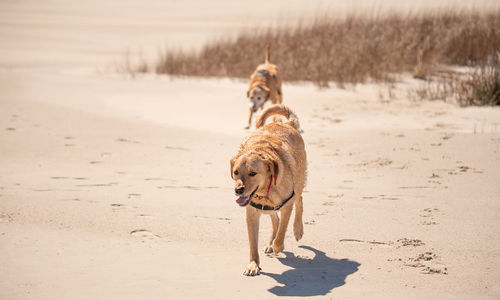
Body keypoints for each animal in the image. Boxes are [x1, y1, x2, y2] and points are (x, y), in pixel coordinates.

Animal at [229, 104, 304, 276]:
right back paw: (270, 243)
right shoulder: (251, 212)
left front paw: (278, 246)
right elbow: (253, 244)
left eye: (252, 173)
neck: (264, 191)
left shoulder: (287, 204)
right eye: (236, 172)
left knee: (299, 202)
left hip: (299, 181)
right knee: (275, 219)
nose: (239, 190)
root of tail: (287, 123)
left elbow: (282, 230)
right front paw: (253, 265)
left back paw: (297, 230)